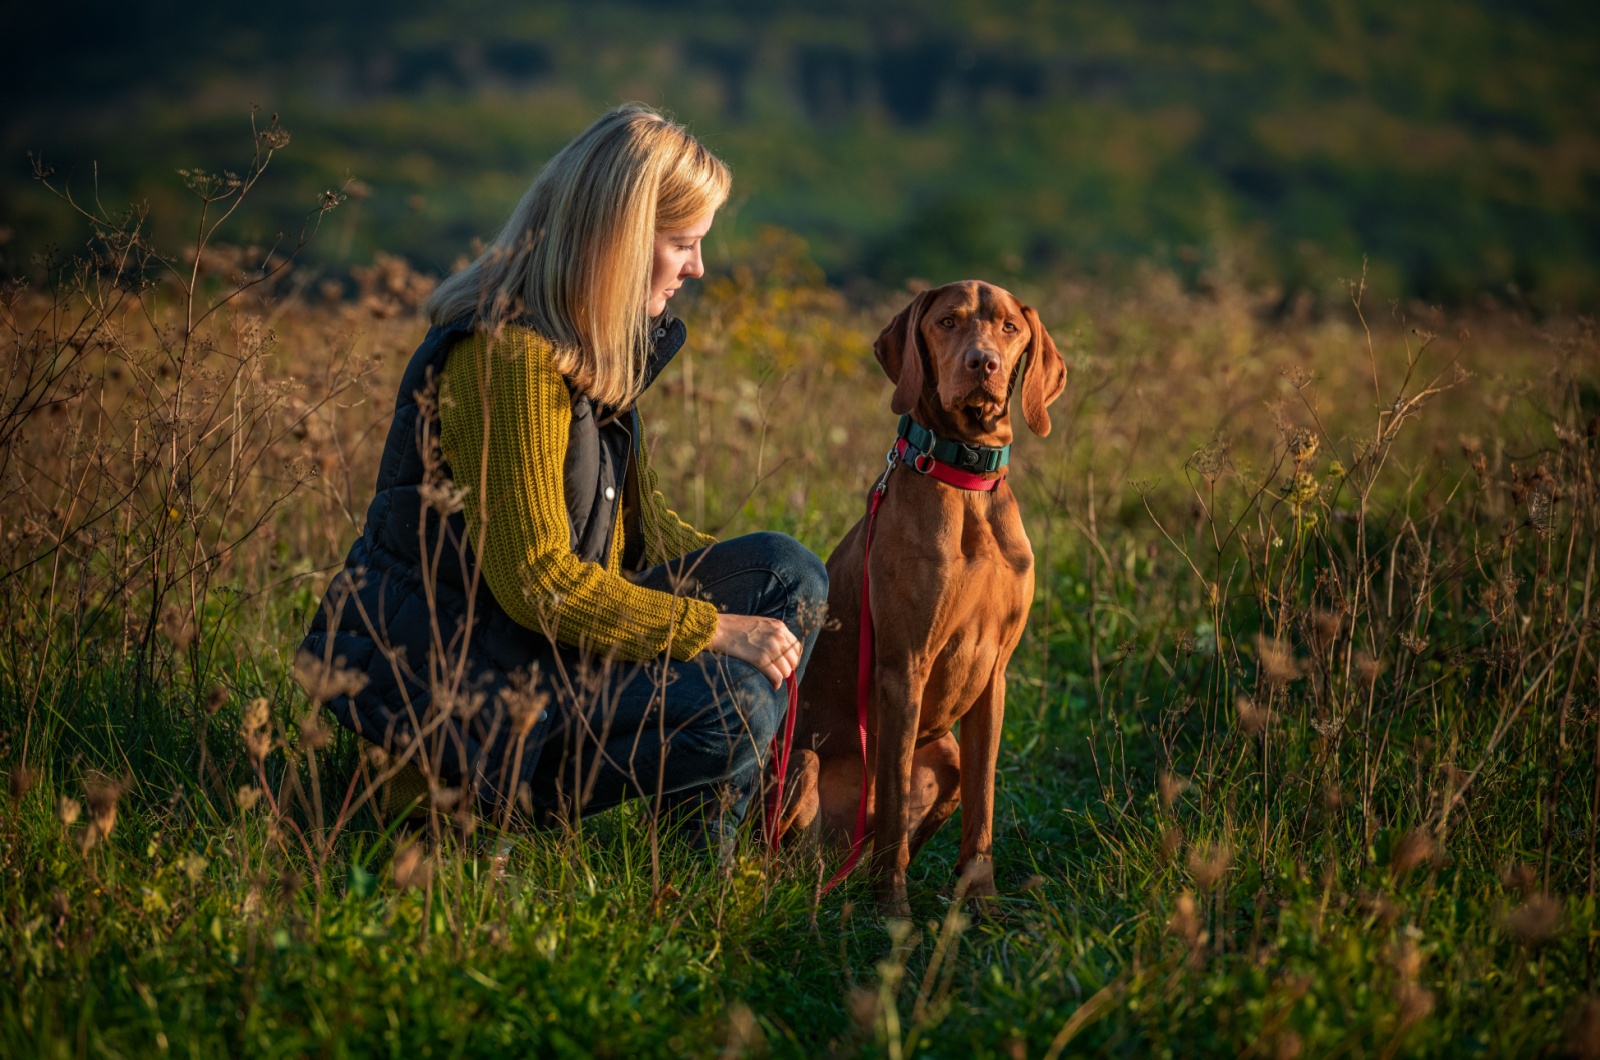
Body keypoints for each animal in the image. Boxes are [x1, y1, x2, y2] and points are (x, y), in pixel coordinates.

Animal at [784, 280, 1062, 915]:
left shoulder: (995, 675)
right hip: (802, 762)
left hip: (945, 756)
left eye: (1010, 328)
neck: (968, 480)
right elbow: (890, 806)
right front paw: (894, 912)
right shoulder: (902, 668)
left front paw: (980, 898)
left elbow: (984, 803)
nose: (982, 363)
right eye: (948, 322)